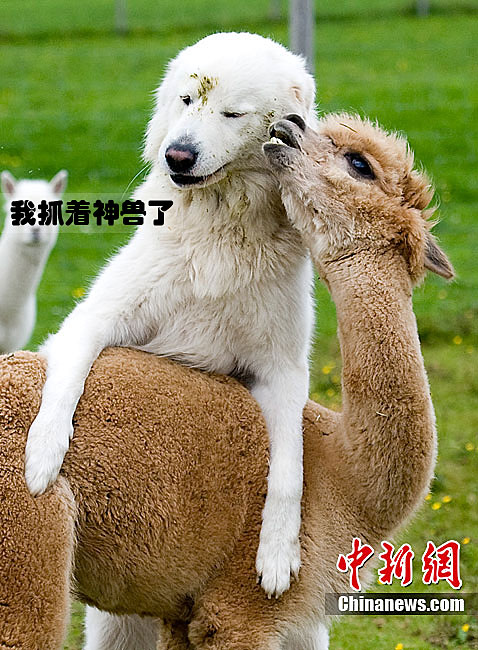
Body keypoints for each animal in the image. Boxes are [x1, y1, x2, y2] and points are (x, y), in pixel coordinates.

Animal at [24, 34, 317, 632]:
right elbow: (64, 384)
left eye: (233, 114)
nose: (177, 155)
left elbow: (289, 469)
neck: (220, 232)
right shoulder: (91, 321)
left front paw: (278, 553)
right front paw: (42, 455)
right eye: (186, 100)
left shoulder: (283, 374)